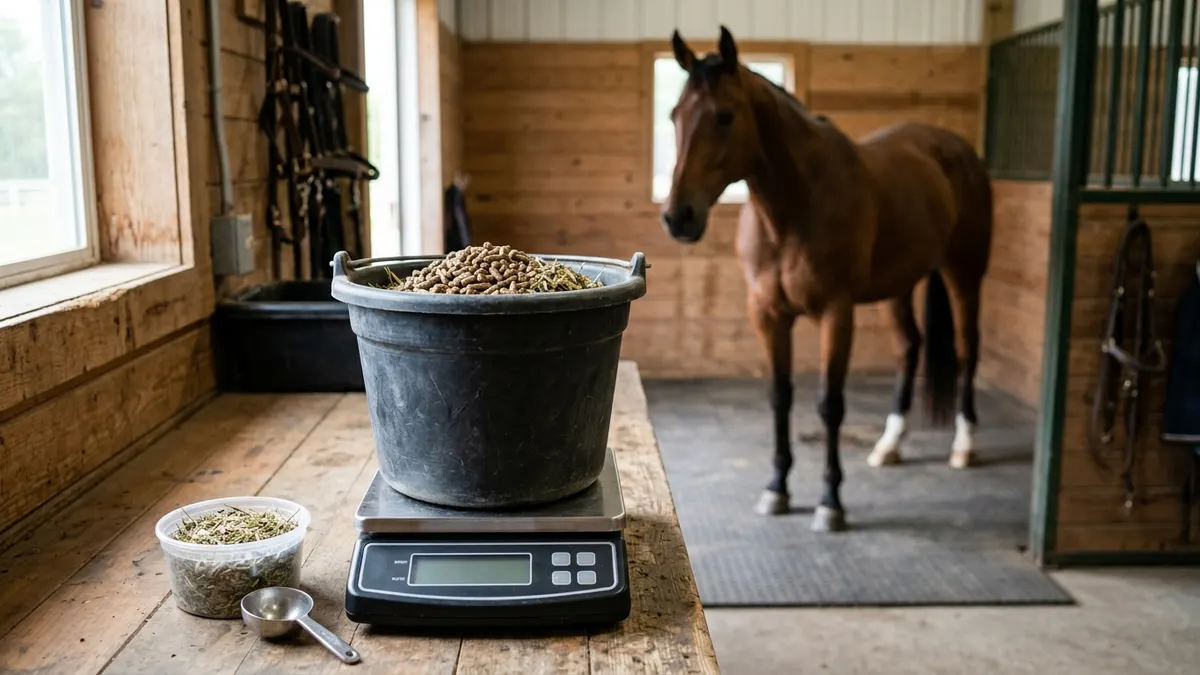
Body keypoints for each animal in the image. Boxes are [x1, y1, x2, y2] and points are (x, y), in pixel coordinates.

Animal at [660, 27, 993, 533]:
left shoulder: (836, 313)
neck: (794, 208)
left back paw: (964, 444)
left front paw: (830, 501)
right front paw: (776, 489)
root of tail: (957, 150)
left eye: (725, 116)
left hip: (964, 273)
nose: (679, 216)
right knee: (909, 346)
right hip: (900, 285)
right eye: (674, 115)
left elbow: (829, 404)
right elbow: (780, 397)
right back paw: (889, 445)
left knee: (967, 349)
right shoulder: (767, 315)